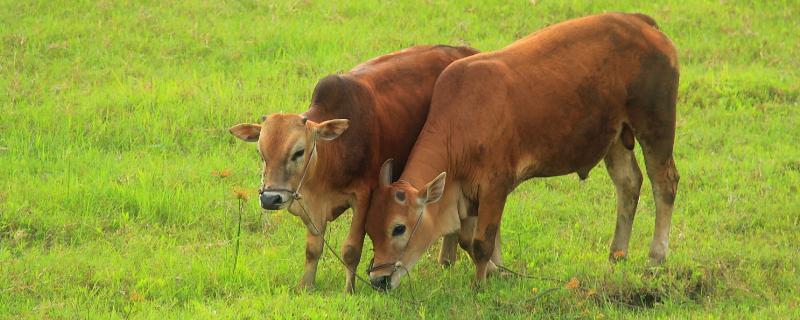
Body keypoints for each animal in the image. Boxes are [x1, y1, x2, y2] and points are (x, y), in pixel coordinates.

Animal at [227, 45, 476, 292]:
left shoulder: (363, 197)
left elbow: (351, 250)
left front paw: (349, 290)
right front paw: (306, 285)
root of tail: (465, 50)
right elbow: (313, 249)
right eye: (261, 154)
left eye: (298, 152)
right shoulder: (311, 206)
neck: (333, 154)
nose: (270, 199)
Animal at [366, 13, 680, 290]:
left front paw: (479, 285)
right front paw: (498, 272)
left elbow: (481, 243)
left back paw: (655, 257)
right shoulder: (465, 193)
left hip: (656, 125)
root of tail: (641, 23)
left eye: (399, 228)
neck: (461, 122)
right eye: (369, 231)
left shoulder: (495, 185)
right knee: (628, 184)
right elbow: (468, 239)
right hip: (614, 138)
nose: (378, 280)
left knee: (665, 184)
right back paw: (617, 254)